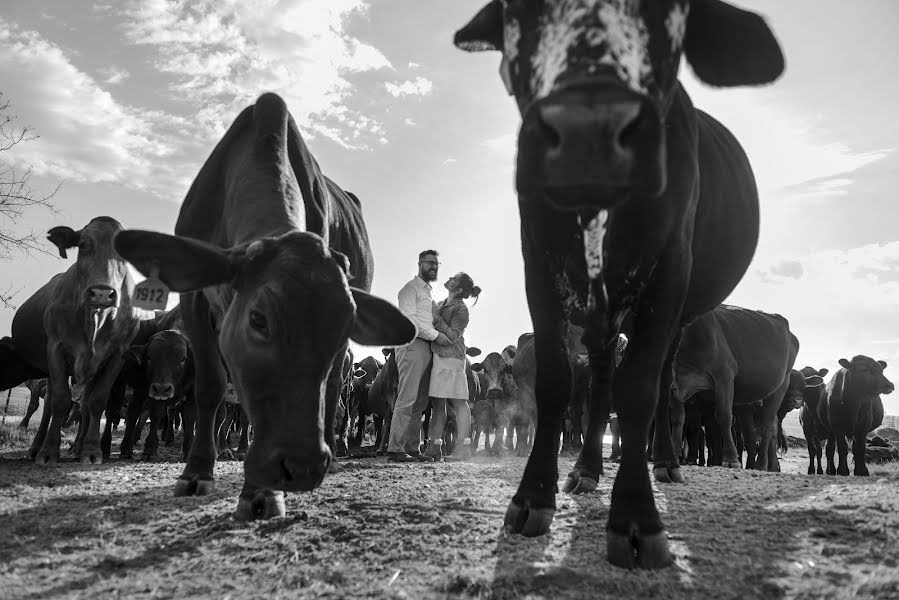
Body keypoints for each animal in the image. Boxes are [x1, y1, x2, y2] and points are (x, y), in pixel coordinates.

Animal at [111, 92, 414, 520]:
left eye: (343, 325)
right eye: (258, 319)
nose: (301, 466)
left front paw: (261, 491)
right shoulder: (193, 298)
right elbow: (210, 388)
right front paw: (197, 472)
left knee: (334, 390)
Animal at [454, 0, 784, 568]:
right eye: (518, 12)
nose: (589, 129)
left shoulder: (669, 271)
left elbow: (640, 391)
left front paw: (635, 517)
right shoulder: (537, 266)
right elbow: (558, 384)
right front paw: (532, 497)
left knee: (663, 388)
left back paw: (667, 463)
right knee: (604, 379)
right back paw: (586, 468)